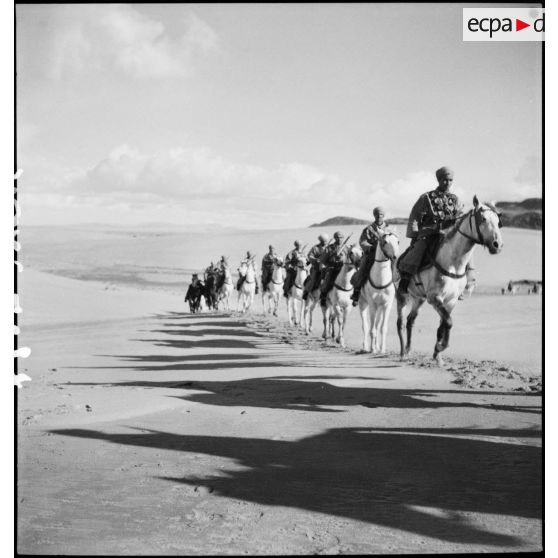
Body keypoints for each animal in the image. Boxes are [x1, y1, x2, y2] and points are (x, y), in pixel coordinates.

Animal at [396, 198, 506, 368]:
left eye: (497, 220)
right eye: (483, 218)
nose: (497, 245)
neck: (452, 262)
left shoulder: (450, 301)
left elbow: (442, 327)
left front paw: (438, 355)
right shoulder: (435, 298)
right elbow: (448, 322)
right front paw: (440, 347)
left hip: (419, 299)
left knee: (410, 321)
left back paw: (408, 349)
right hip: (402, 296)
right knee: (400, 323)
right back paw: (402, 353)